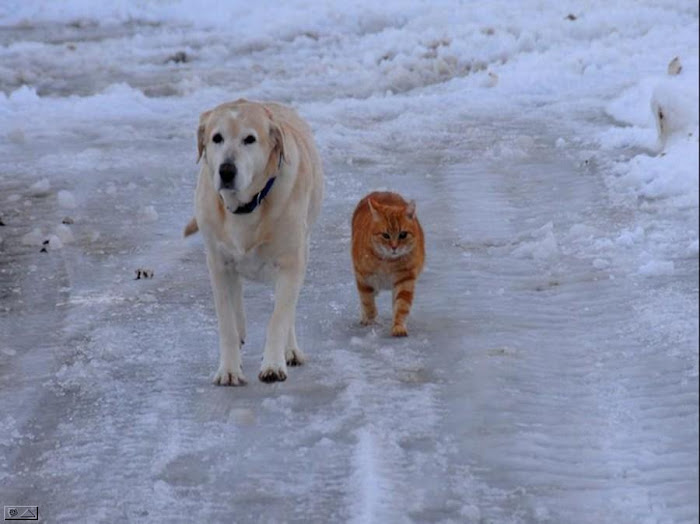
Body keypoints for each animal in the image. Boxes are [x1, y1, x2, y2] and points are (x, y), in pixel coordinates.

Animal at [187, 99, 326, 384]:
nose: (227, 170)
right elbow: (226, 320)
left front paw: (273, 364)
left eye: (249, 139)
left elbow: (279, 317)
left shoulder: (290, 262)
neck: (246, 207)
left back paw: (290, 349)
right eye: (217, 138)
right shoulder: (217, 263)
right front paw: (229, 369)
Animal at [350, 191, 426, 336]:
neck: (388, 262)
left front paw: (398, 326)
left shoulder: (405, 280)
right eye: (385, 235)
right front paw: (371, 320)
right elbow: (367, 302)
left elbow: (401, 306)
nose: (394, 247)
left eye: (403, 234)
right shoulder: (364, 278)